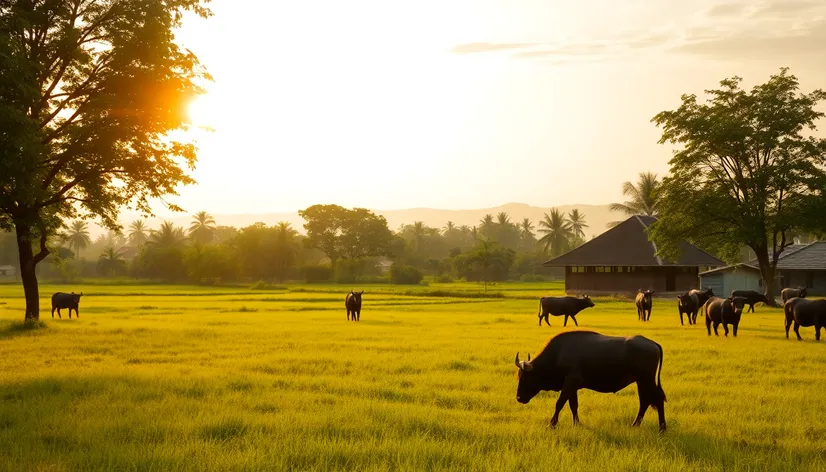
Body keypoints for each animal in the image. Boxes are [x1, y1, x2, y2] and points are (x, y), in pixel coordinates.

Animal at [512, 330, 668, 434]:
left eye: (524, 377)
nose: (519, 398)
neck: (558, 354)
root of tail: (652, 343)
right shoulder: (572, 387)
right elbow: (573, 405)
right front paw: (577, 423)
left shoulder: (570, 382)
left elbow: (559, 403)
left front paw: (551, 424)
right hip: (641, 382)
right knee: (645, 401)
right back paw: (636, 425)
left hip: (647, 380)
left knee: (656, 399)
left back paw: (662, 428)